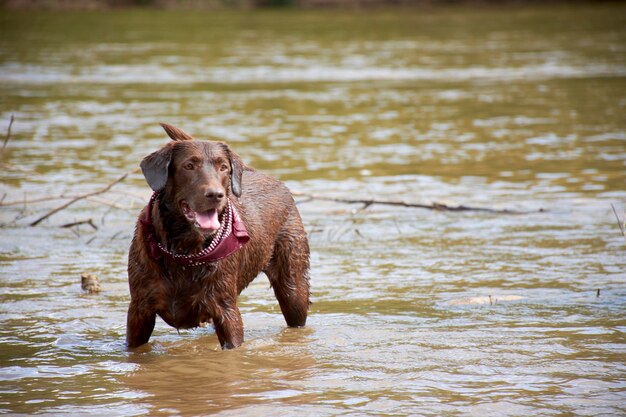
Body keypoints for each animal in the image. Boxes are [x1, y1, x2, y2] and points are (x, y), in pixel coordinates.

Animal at [125, 122, 310, 348]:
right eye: (189, 165)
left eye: (223, 167)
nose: (215, 194)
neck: (184, 251)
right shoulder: (139, 311)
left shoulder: (226, 311)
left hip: (294, 286)